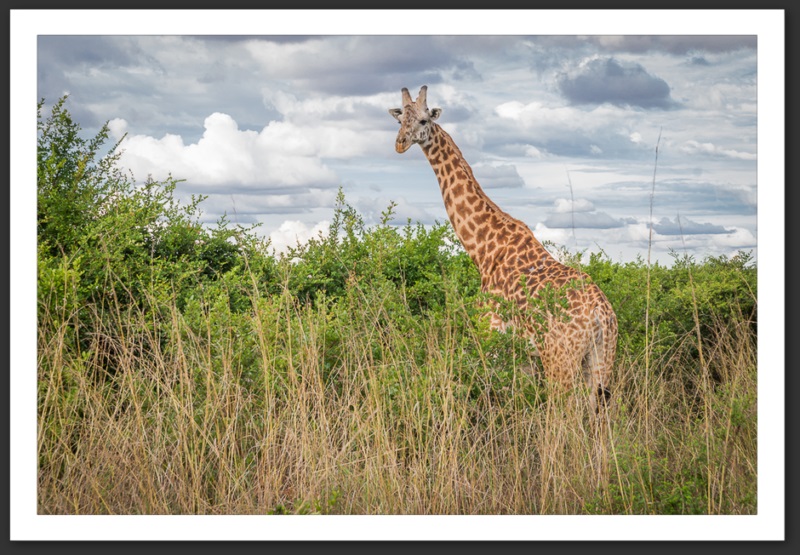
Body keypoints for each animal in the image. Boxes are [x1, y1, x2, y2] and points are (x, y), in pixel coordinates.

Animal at [389, 86, 618, 412]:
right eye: (399, 121)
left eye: (423, 120)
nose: (400, 144)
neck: (485, 248)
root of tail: (601, 314)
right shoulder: (522, 352)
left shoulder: (491, 333)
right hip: (601, 359)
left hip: (560, 358)